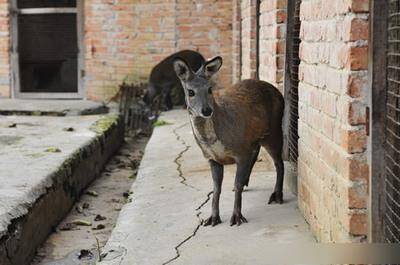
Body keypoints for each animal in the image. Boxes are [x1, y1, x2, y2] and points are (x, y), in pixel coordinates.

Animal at [173, 55, 284, 225]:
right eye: (190, 92)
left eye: (210, 89)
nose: (207, 110)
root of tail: (279, 93)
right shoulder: (212, 159)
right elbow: (216, 189)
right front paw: (213, 218)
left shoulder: (240, 151)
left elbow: (236, 184)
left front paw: (237, 217)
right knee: (257, 152)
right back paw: (248, 182)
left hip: (273, 130)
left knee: (279, 162)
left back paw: (277, 195)